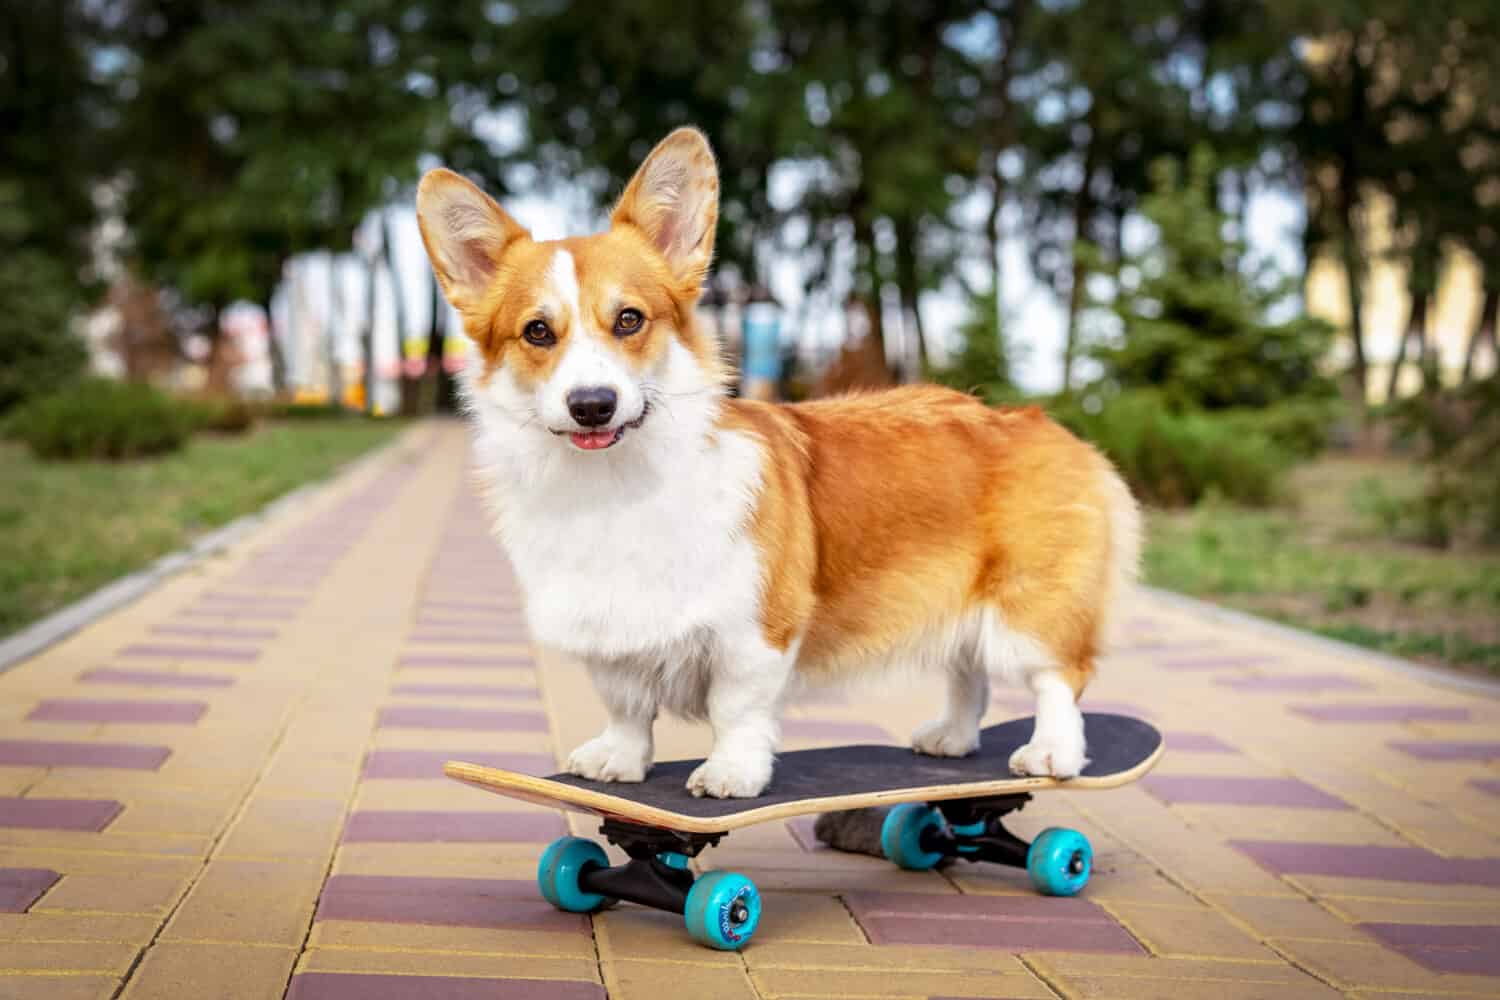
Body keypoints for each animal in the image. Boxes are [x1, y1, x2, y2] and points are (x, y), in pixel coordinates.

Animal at [417, 127, 1140, 797]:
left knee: (1059, 677)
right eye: (538, 331)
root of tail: (1052, 428)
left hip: (1029, 609)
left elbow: (734, 709)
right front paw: (618, 761)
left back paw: (1052, 752)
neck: (614, 487)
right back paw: (953, 739)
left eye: (629, 320)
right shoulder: (612, 633)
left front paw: (730, 773)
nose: (592, 405)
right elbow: (626, 704)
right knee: (970, 675)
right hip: (954, 608)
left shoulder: (754, 629)